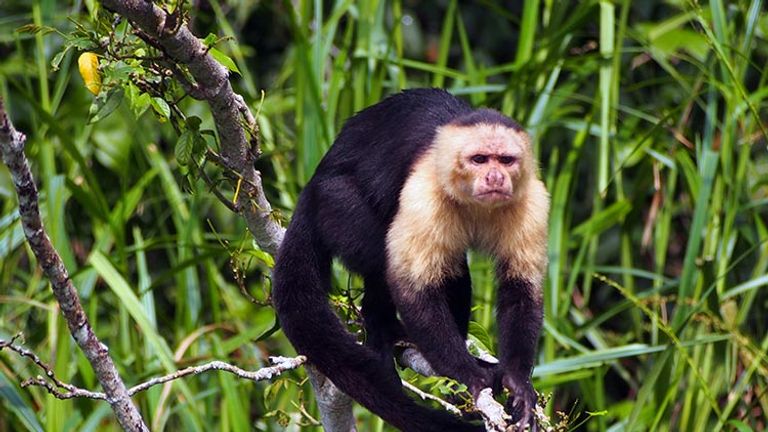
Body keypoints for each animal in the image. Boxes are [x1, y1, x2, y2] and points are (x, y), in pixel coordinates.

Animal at [272, 88, 548, 432]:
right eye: (480, 159)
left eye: (506, 160)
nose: (495, 177)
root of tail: (311, 187)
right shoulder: (424, 192)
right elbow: (411, 288)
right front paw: (467, 374)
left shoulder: (531, 200)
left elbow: (521, 289)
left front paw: (517, 382)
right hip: (333, 201)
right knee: (381, 257)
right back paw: (381, 328)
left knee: (453, 268)